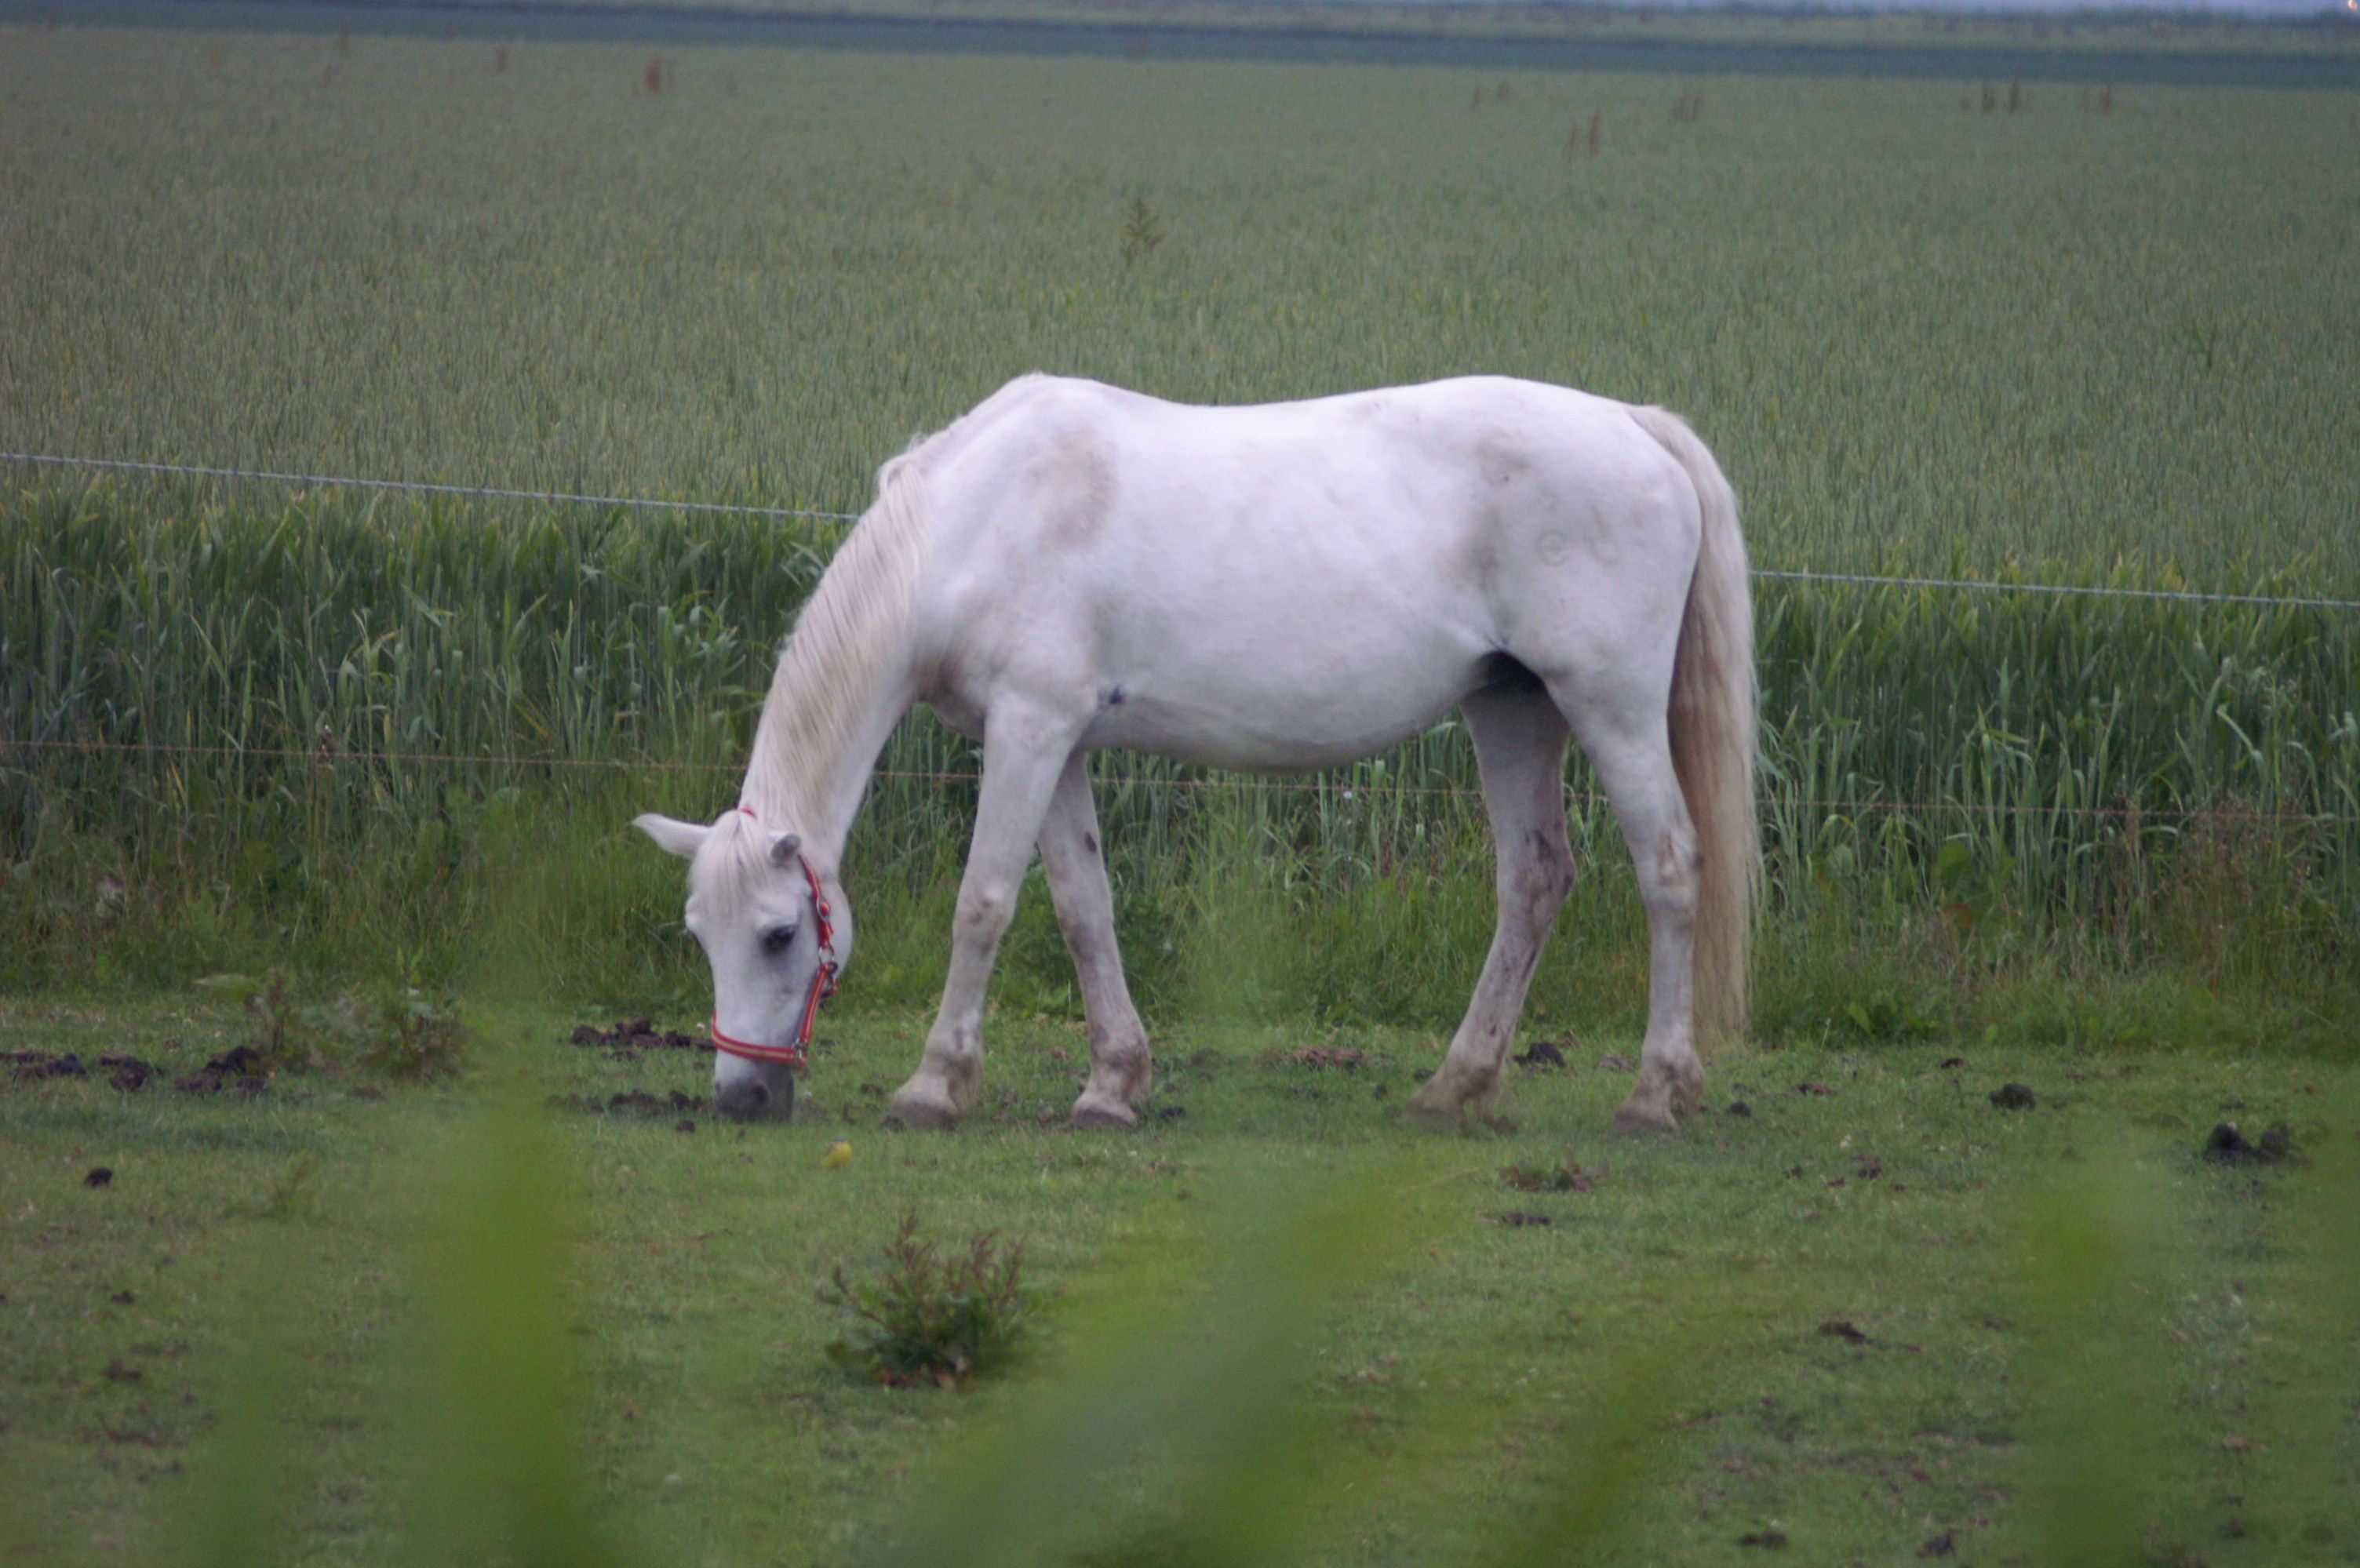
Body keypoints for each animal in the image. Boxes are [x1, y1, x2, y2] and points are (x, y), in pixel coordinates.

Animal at [635, 373, 1756, 1133]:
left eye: (780, 934)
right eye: (697, 936)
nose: (740, 1095)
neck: (974, 523)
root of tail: (1632, 424)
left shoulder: (1028, 729)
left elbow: (984, 903)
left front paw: (934, 1083)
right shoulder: (1055, 740)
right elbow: (1082, 908)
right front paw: (1110, 1084)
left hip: (1607, 707)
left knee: (1668, 870)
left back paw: (1652, 1092)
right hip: (1511, 710)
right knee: (1532, 879)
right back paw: (1455, 1085)